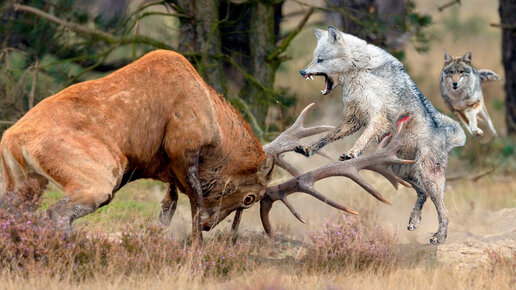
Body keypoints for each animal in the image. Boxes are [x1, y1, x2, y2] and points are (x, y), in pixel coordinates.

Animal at [292, 26, 466, 245]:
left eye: (320, 59)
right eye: (314, 58)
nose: (302, 71)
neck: (359, 70)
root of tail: (448, 138)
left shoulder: (377, 117)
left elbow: (362, 139)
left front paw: (351, 153)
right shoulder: (353, 119)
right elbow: (327, 137)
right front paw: (308, 148)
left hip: (426, 176)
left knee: (443, 211)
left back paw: (439, 236)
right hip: (399, 171)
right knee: (422, 193)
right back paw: (414, 221)